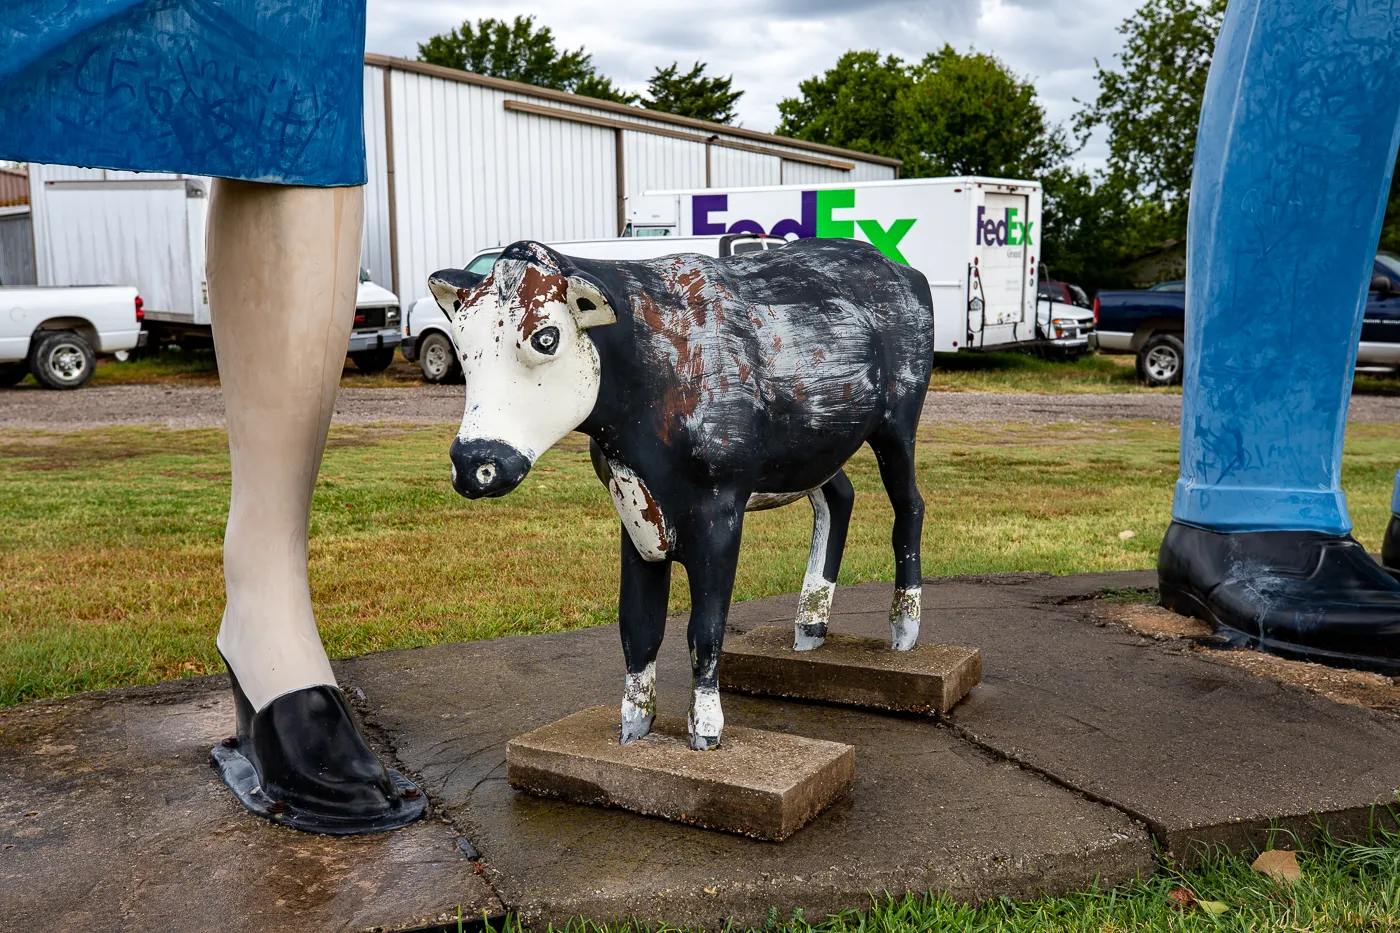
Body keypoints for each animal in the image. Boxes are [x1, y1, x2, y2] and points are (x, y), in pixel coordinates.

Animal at [422, 239, 929, 750]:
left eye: (546, 338)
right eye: (461, 343)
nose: (475, 464)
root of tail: (899, 268)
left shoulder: (720, 506)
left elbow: (704, 627)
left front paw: (705, 728)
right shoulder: (633, 503)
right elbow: (638, 624)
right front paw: (634, 726)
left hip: (897, 424)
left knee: (910, 506)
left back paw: (903, 628)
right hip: (817, 449)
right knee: (839, 498)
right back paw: (809, 627)